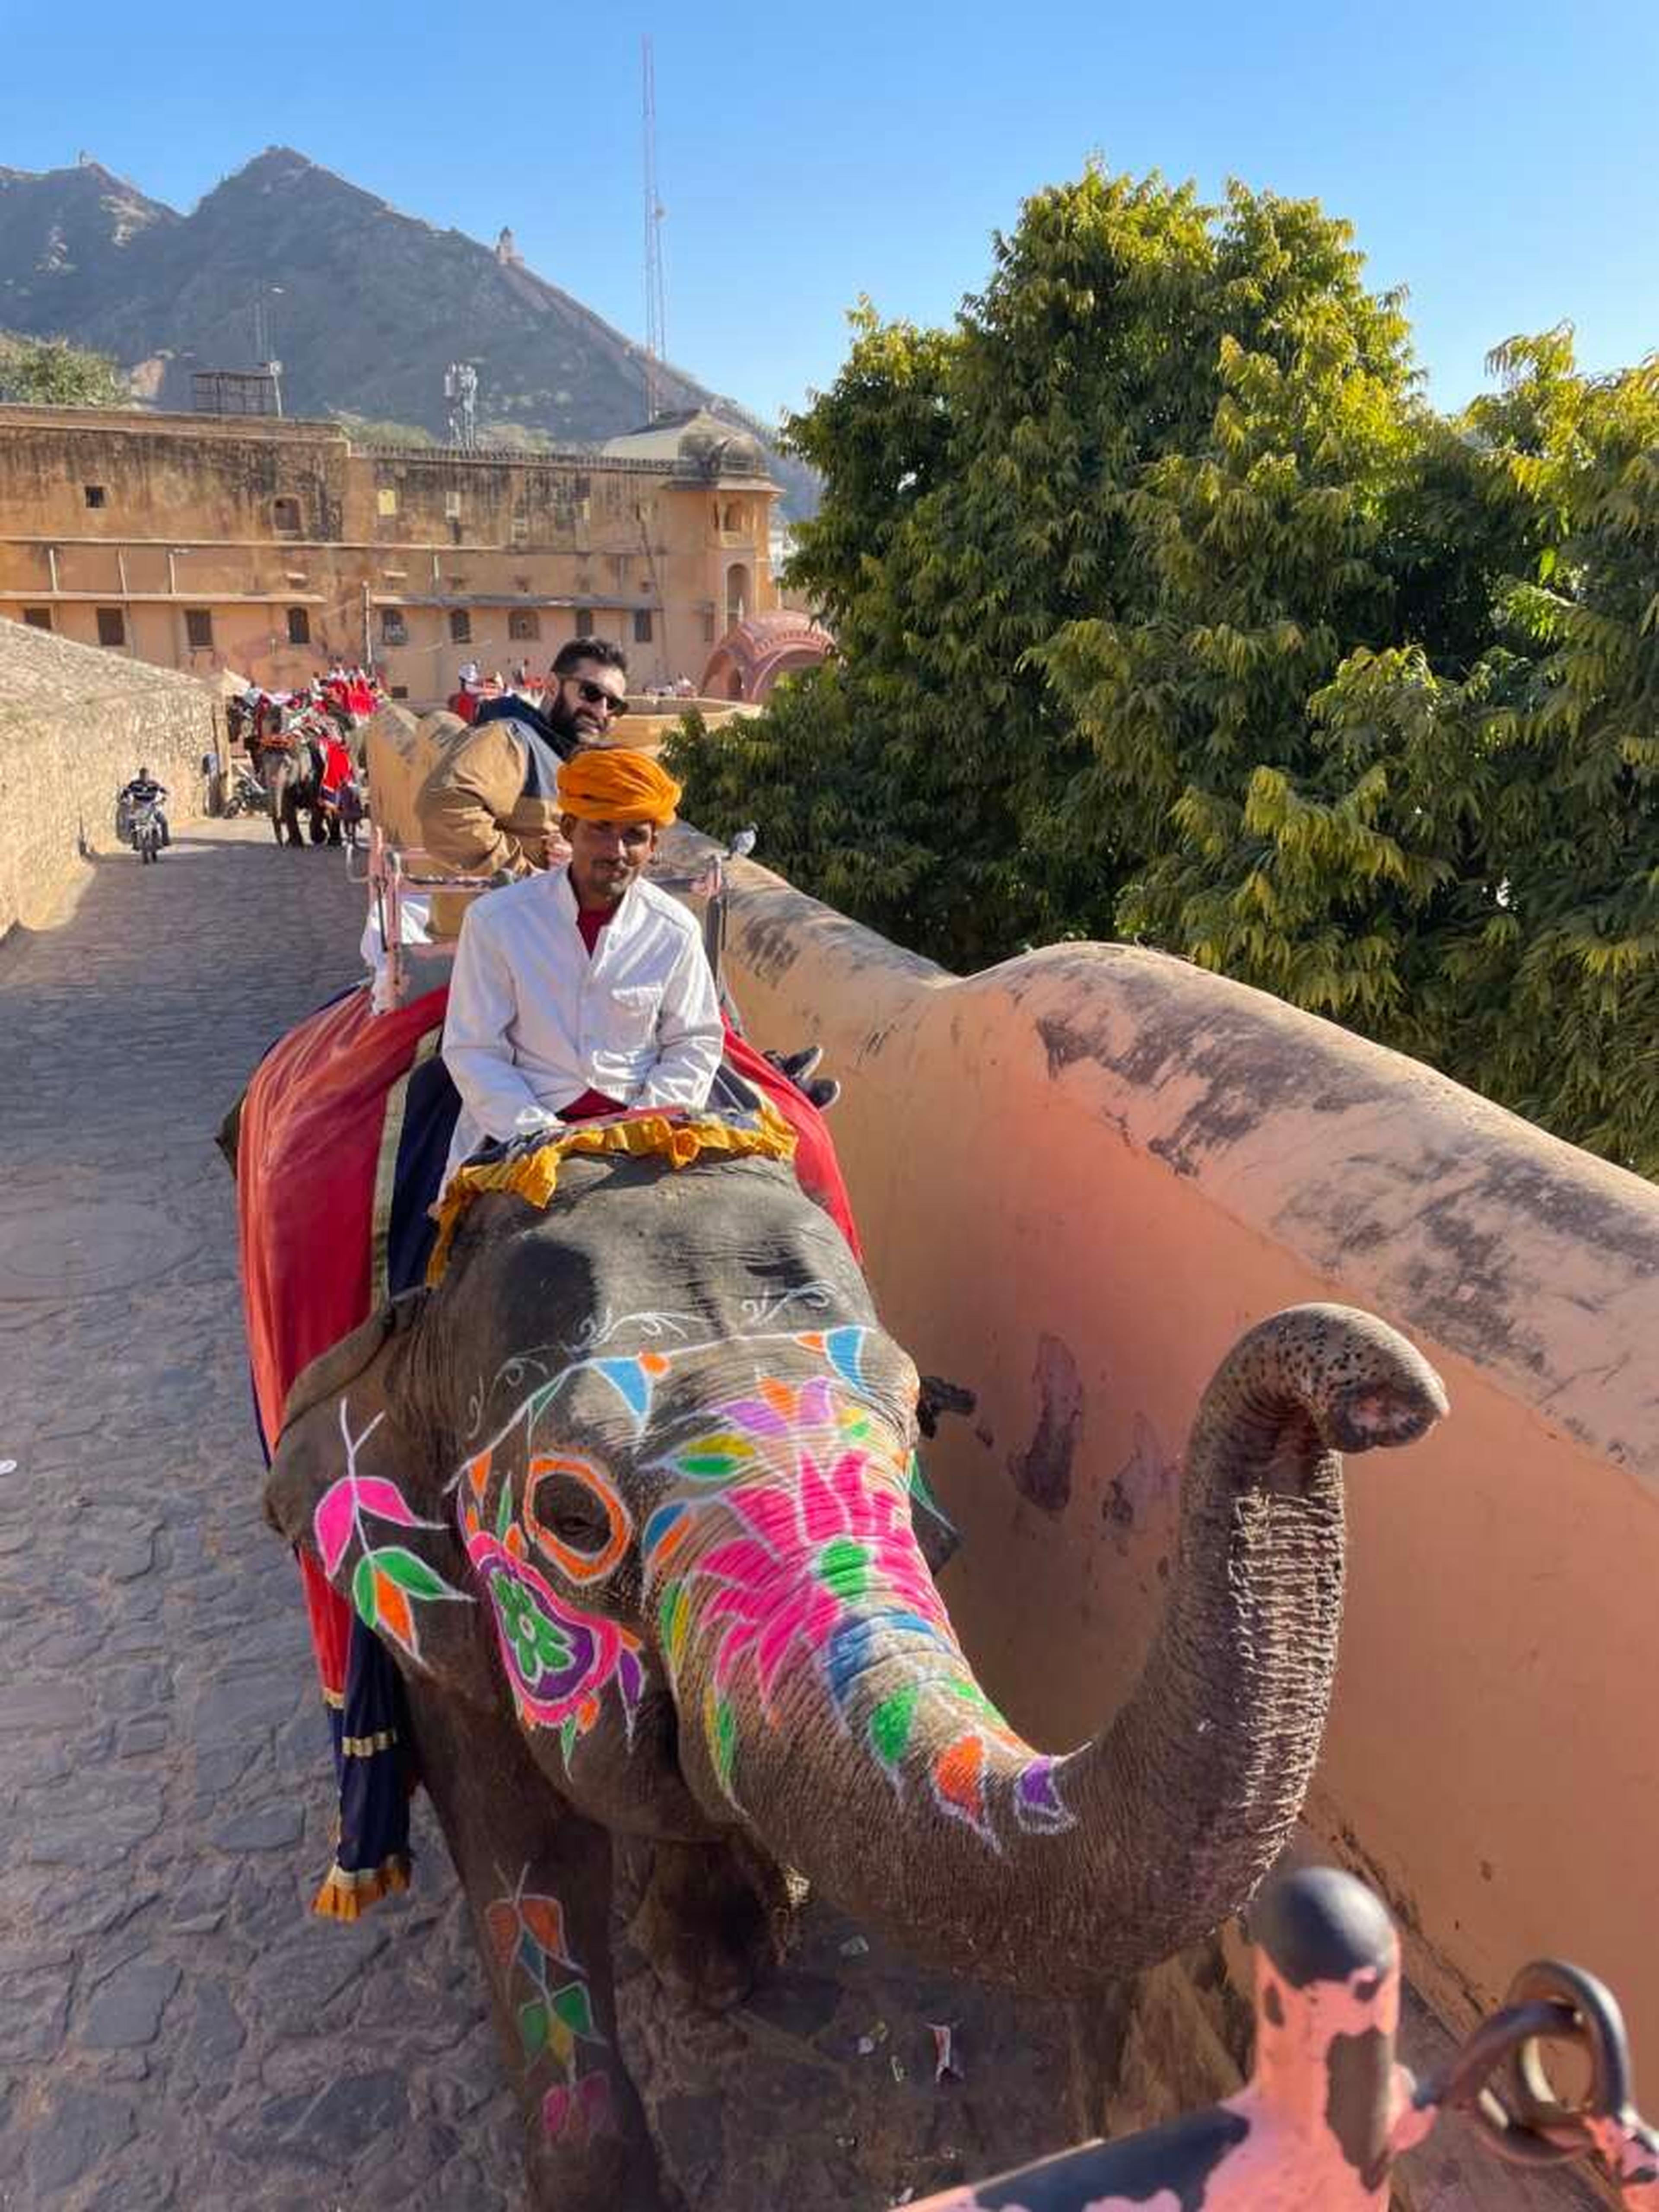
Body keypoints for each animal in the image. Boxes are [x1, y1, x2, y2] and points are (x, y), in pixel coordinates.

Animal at [260, 1150, 1442, 2203]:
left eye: (917, 1421)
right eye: (569, 1517)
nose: (1386, 1395)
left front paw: (720, 1962)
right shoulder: (433, 1608)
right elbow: (521, 1854)